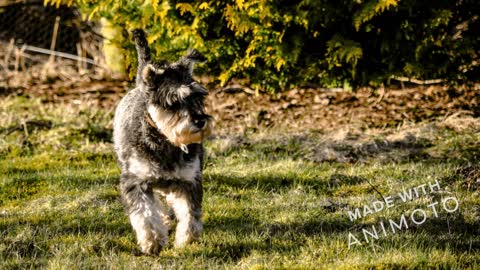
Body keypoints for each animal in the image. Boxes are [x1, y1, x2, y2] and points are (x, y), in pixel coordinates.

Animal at [113, 29, 213, 255]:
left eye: (199, 97)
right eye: (173, 102)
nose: (200, 121)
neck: (166, 141)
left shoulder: (189, 180)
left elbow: (190, 215)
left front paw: (186, 240)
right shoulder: (135, 181)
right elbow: (145, 215)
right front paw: (153, 242)